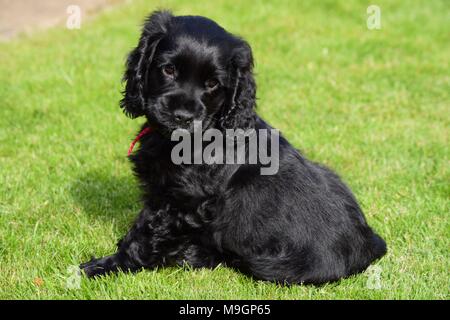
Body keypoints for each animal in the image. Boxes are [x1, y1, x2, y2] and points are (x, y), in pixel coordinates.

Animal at [81, 10, 386, 284]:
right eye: (168, 70)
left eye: (212, 84)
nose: (182, 116)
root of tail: (370, 245)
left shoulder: (180, 200)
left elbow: (143, 235)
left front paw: (102, 266)